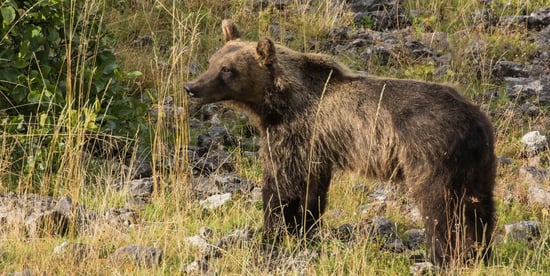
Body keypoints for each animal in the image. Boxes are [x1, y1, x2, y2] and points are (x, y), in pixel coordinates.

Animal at [184, 19, 496, 266]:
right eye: (213, 61)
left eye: (228, 70)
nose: (191, 87)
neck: (277, 104)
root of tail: (474, 118)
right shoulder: (315, 147)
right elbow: (310, 192)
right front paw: (302, 231)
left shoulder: (294, 134)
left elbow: (280, 186)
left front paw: (271, 233)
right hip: (477, 163)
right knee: (479, 207)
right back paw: (480, 253)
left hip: (430, 154)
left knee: (440, 206)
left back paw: (442, 255)